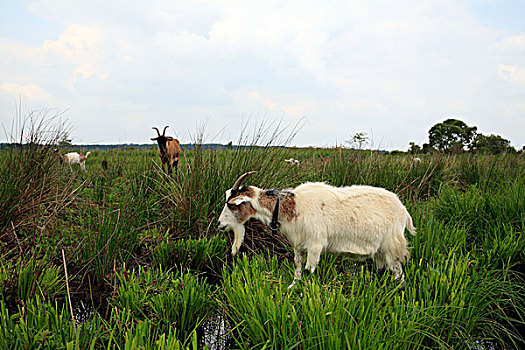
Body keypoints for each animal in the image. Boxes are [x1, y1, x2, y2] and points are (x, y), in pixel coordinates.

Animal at [217, 172, 414, 288]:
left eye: (231, 205)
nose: (220, 224)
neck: (293, 207)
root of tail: (403, 210)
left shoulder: (315, 245)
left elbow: (308, 271)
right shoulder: (298, 245)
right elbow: (297, 268)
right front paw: (292, 288)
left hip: (392, 246)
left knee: (399, 274)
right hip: (381, 251)